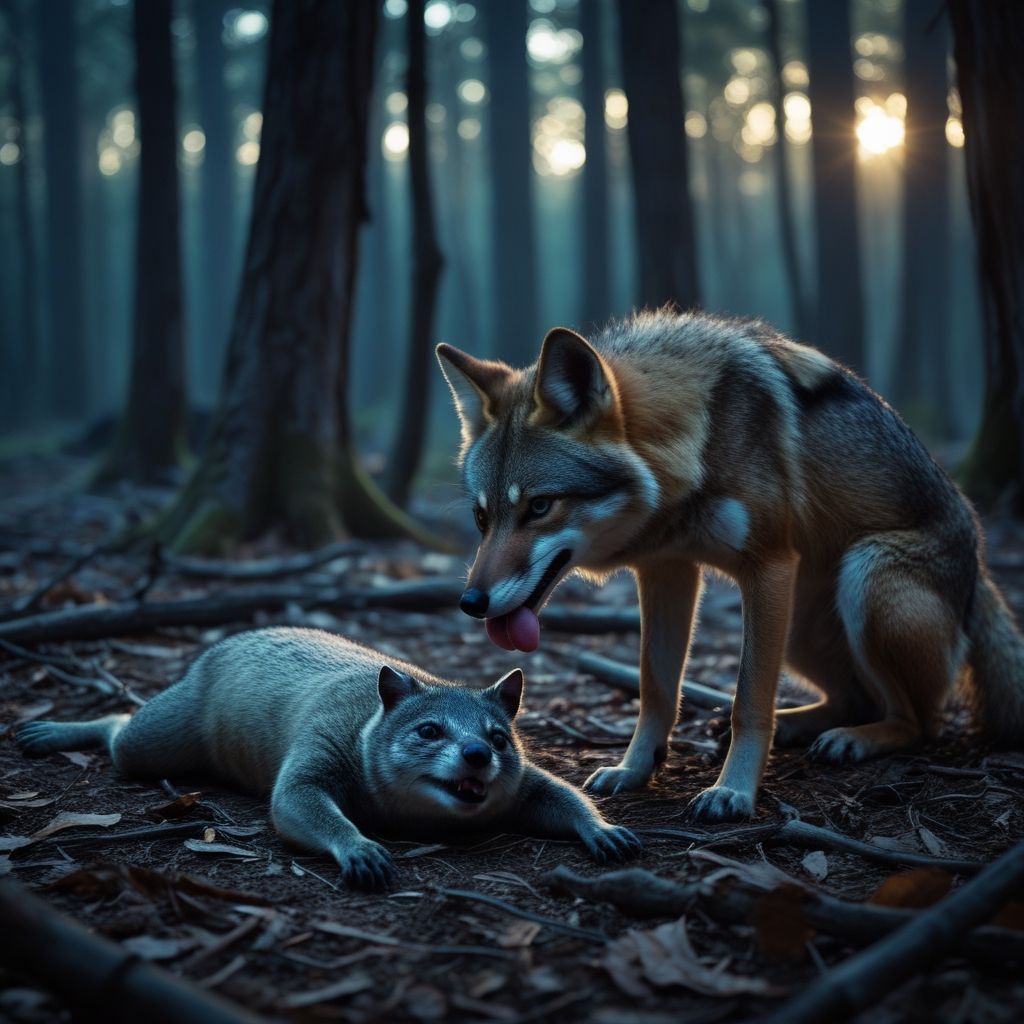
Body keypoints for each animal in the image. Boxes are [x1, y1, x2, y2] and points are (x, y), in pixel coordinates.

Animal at [436, 309, 1024, 822]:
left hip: (864, 575)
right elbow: (656, 688)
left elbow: (749, 700)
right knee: (855, 699)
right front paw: (634, 769)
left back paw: (853, 740)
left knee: (921, 720)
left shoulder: (769, 567)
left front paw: (733, 790)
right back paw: (803, 726)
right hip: (804, 622)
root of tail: (980, 570)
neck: (701, 440)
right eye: (482, 517)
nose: (470, 603)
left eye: (539, 506)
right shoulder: (667, 572)